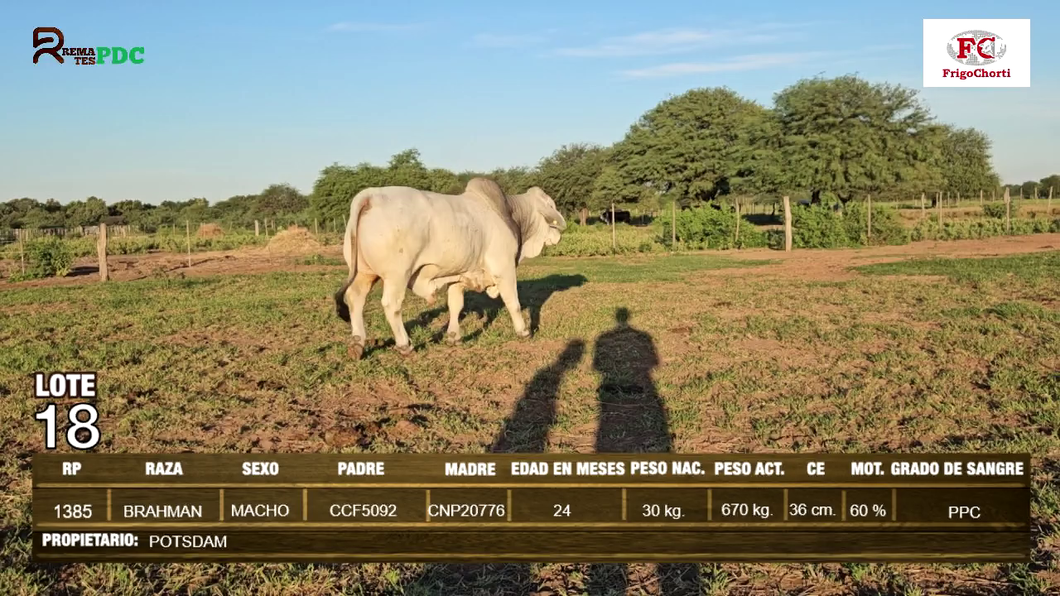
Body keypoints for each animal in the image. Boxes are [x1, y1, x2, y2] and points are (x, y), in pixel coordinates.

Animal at [334, 173, 568, 354]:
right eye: (552, 205)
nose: (559, 232)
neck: (510, 214)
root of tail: (370, 196)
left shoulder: (459, 275)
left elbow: (456, 305)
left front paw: (454, 336)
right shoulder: (504, 269)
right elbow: (514, 303)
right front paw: (523, 331)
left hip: (364, 272)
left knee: (355, 298)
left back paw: (357, 344)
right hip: (397, 275)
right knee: (391, 305)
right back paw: (404, 345)